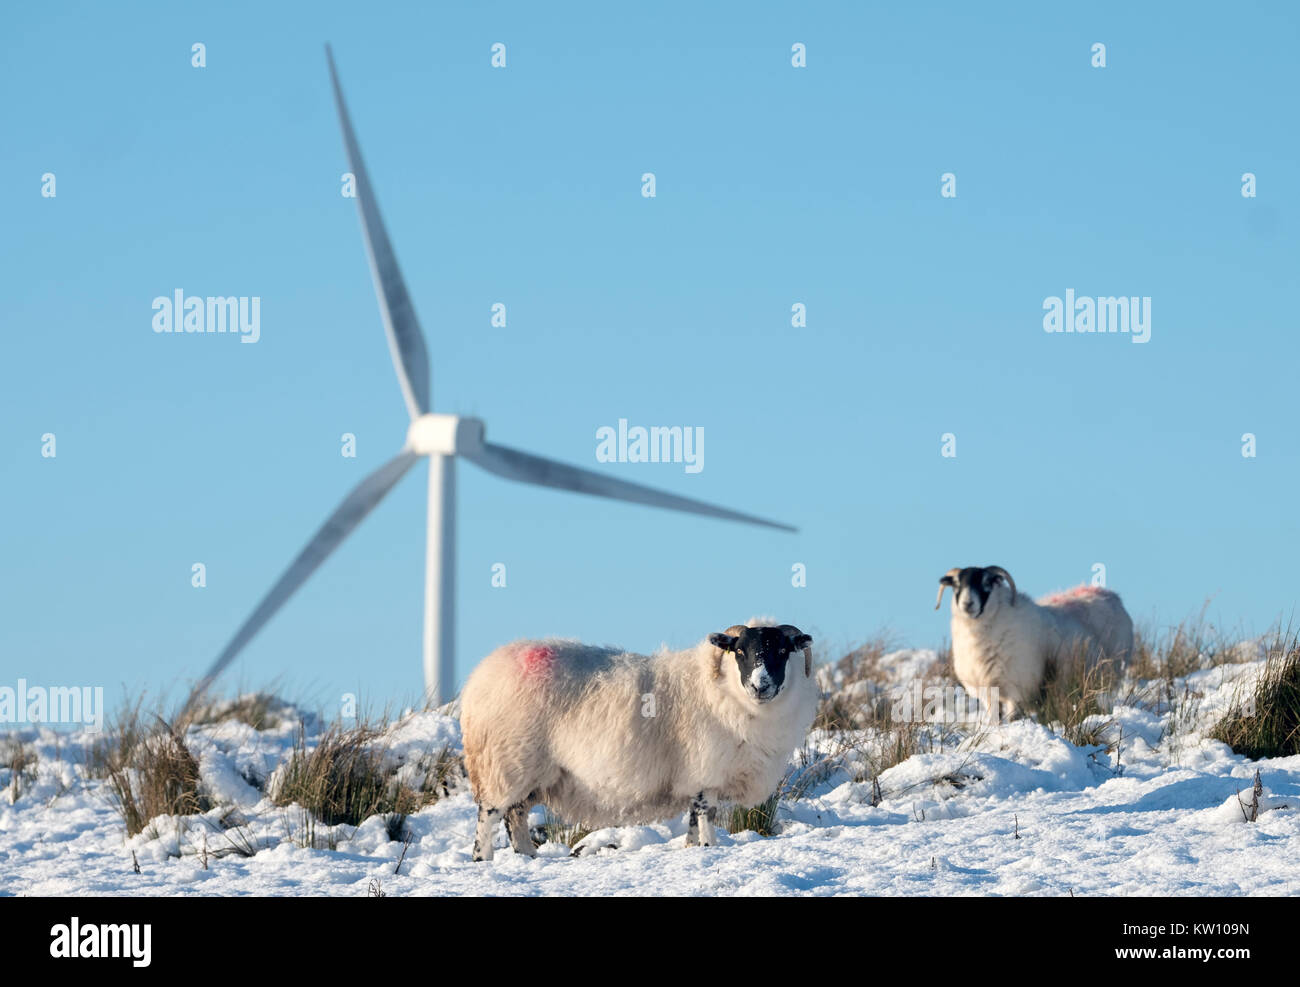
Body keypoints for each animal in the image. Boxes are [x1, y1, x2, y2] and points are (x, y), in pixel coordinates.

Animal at [457, 621, 811, 863]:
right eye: (739, 652)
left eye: (783, 652)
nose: (760, 686)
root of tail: (480, 678)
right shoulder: (706, 770)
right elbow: (706, 816)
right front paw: (709, 849)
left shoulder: (695, 778)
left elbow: (693, 819)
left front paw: (691, 849)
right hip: (505, 762)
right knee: (489, 814)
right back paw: (483, 859)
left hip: (532, 773)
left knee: (515, 815)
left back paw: (528, 857)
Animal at [935, 566, 1138, 723]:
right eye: (956, 585)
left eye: (986, 583)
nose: (968, 604)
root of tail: (1110, 594)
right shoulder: (987, 689)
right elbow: (994, 718)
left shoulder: (1017, 685)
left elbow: (1011, 717)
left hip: (1109, 674)